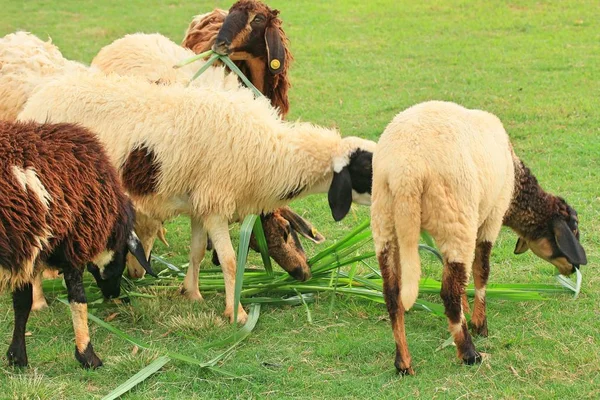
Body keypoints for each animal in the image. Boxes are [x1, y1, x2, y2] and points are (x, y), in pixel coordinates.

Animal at [0, 119, 155, 368]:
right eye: (122, 257)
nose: (114, 294)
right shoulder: (74, 242)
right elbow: (78, 299)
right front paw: (88, 356)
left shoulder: (25, 253)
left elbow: (22, 302)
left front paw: (17, 357)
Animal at [18, 70, 376, 324]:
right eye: (366, 169)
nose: (305, 276)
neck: (270, 154)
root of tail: (35, 100)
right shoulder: (216, 202)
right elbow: (230, 260)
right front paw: (236, 314)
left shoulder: (200, 204)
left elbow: (198, 251)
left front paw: (191, 293)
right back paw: (38, 301)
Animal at [372, 101, 588, 376]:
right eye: (574, 227)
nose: (575, 266)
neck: (516, 184)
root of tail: (406, 173)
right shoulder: (490, 219)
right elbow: (481, 271)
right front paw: (479, 323)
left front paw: (468, 312)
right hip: (455, 217)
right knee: (448, 293)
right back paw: (469, 353)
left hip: (385, 223)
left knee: (392, 294)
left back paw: (403, 363)